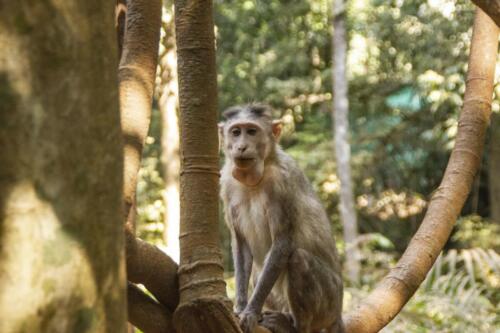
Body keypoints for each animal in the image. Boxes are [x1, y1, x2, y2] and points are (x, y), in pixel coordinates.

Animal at [219, 104, 344, 332]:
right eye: (236, 132)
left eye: (252, 131)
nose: (241, 147)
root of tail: (338, 314)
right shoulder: (227, 185)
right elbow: (241, 245)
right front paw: (240, 307)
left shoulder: (282, 183)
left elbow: (283, 242)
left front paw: (251, 312)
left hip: (329, 302)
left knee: (298, 258)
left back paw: (295, 326)